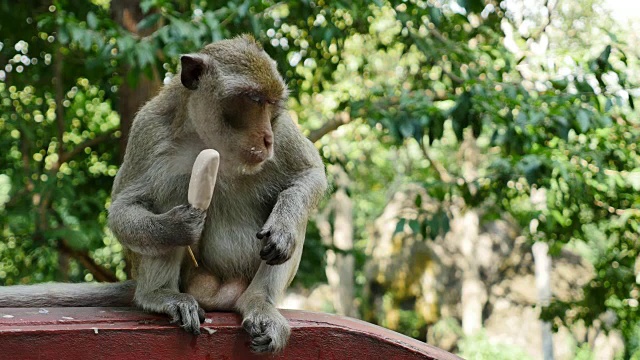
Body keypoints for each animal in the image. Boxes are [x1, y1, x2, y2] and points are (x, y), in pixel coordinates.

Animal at [0, 35, 328, 352]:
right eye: (253, 100)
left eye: (272, 104)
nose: (266, 138)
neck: (211, 141)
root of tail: (219, 295)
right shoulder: (148, 128)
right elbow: (124, 208)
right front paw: (176, 227)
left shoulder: (283, 130)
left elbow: (309, 174)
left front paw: (282, 229)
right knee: (170, 189)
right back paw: (160, 294)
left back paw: (259, 303)